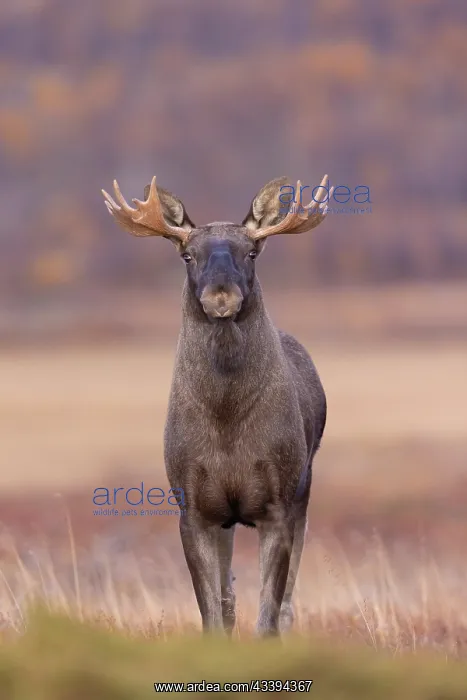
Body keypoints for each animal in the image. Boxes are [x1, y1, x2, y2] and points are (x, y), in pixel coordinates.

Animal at [101, 173, 333, 637]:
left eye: (252, 252)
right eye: (187, 255)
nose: (221, 297)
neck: (226, 423)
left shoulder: (278, 506)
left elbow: (267, 619)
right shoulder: (194, 509)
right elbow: (213, 613)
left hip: (304, 489)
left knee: (287, 603)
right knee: (229, 600)